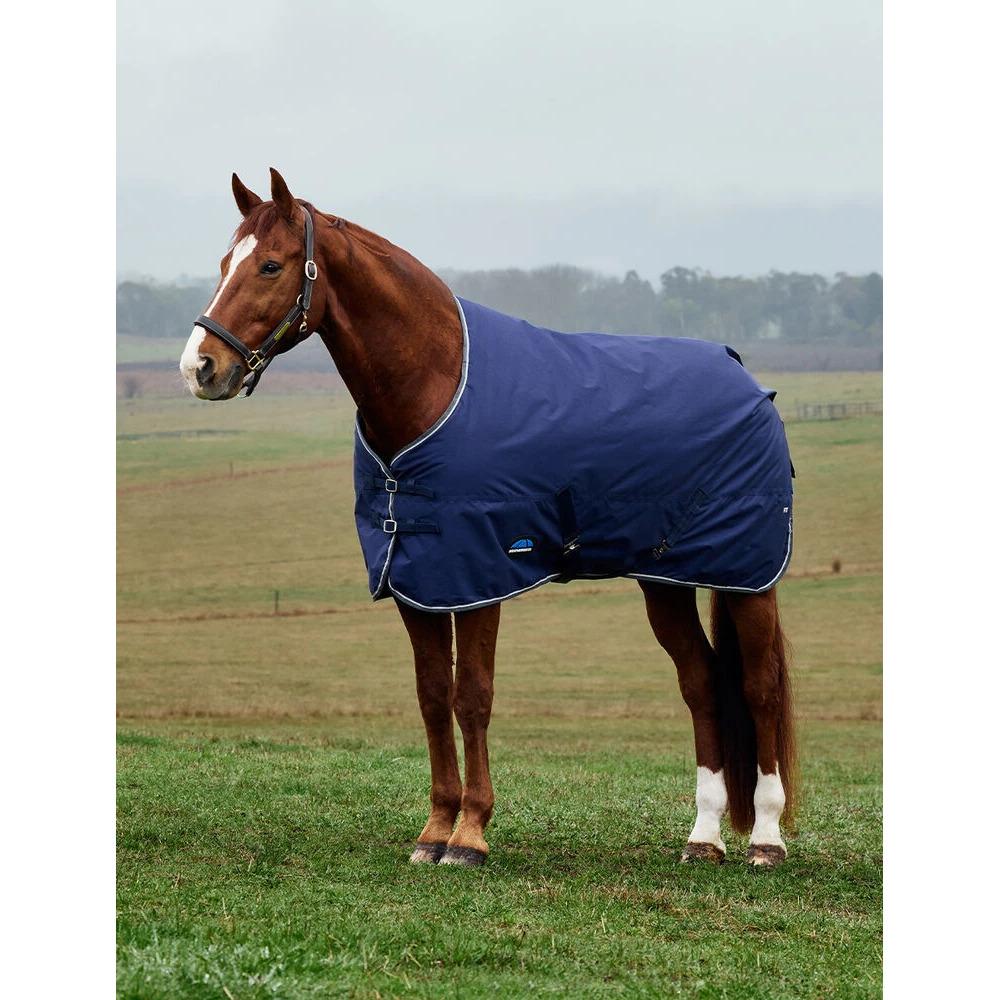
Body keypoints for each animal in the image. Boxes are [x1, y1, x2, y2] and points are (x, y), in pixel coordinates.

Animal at [179, 169, 797, 868]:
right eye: (225, 262)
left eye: (271, 265)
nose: (199, 368)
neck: (435, 385)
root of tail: (746, 380)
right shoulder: (415, 579)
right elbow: (431, 695)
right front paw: (433, 830)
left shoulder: (478, 575)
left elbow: (472, 695)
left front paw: (470, 835)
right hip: (665, 581)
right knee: (702, 683)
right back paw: (704, 837)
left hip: (748, 576)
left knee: (759, 687)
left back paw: (766, 839)